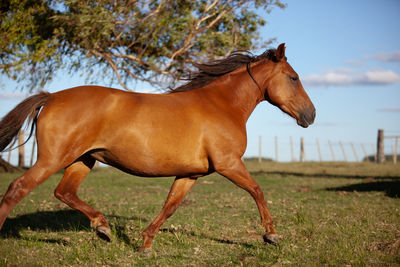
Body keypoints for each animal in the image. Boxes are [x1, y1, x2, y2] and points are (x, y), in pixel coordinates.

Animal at [0, 44, 316, 253]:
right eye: (294, 77)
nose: (311, 115)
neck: (222, 105)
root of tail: (52, 97)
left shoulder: (191, 174)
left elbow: (170, 206)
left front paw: (145, 243)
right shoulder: (228, 164)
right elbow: (257, 190)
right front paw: (271, 235)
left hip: (82, 160)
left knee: (63, 192)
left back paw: (103, 228)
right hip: (53, 159)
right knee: (17, 188)